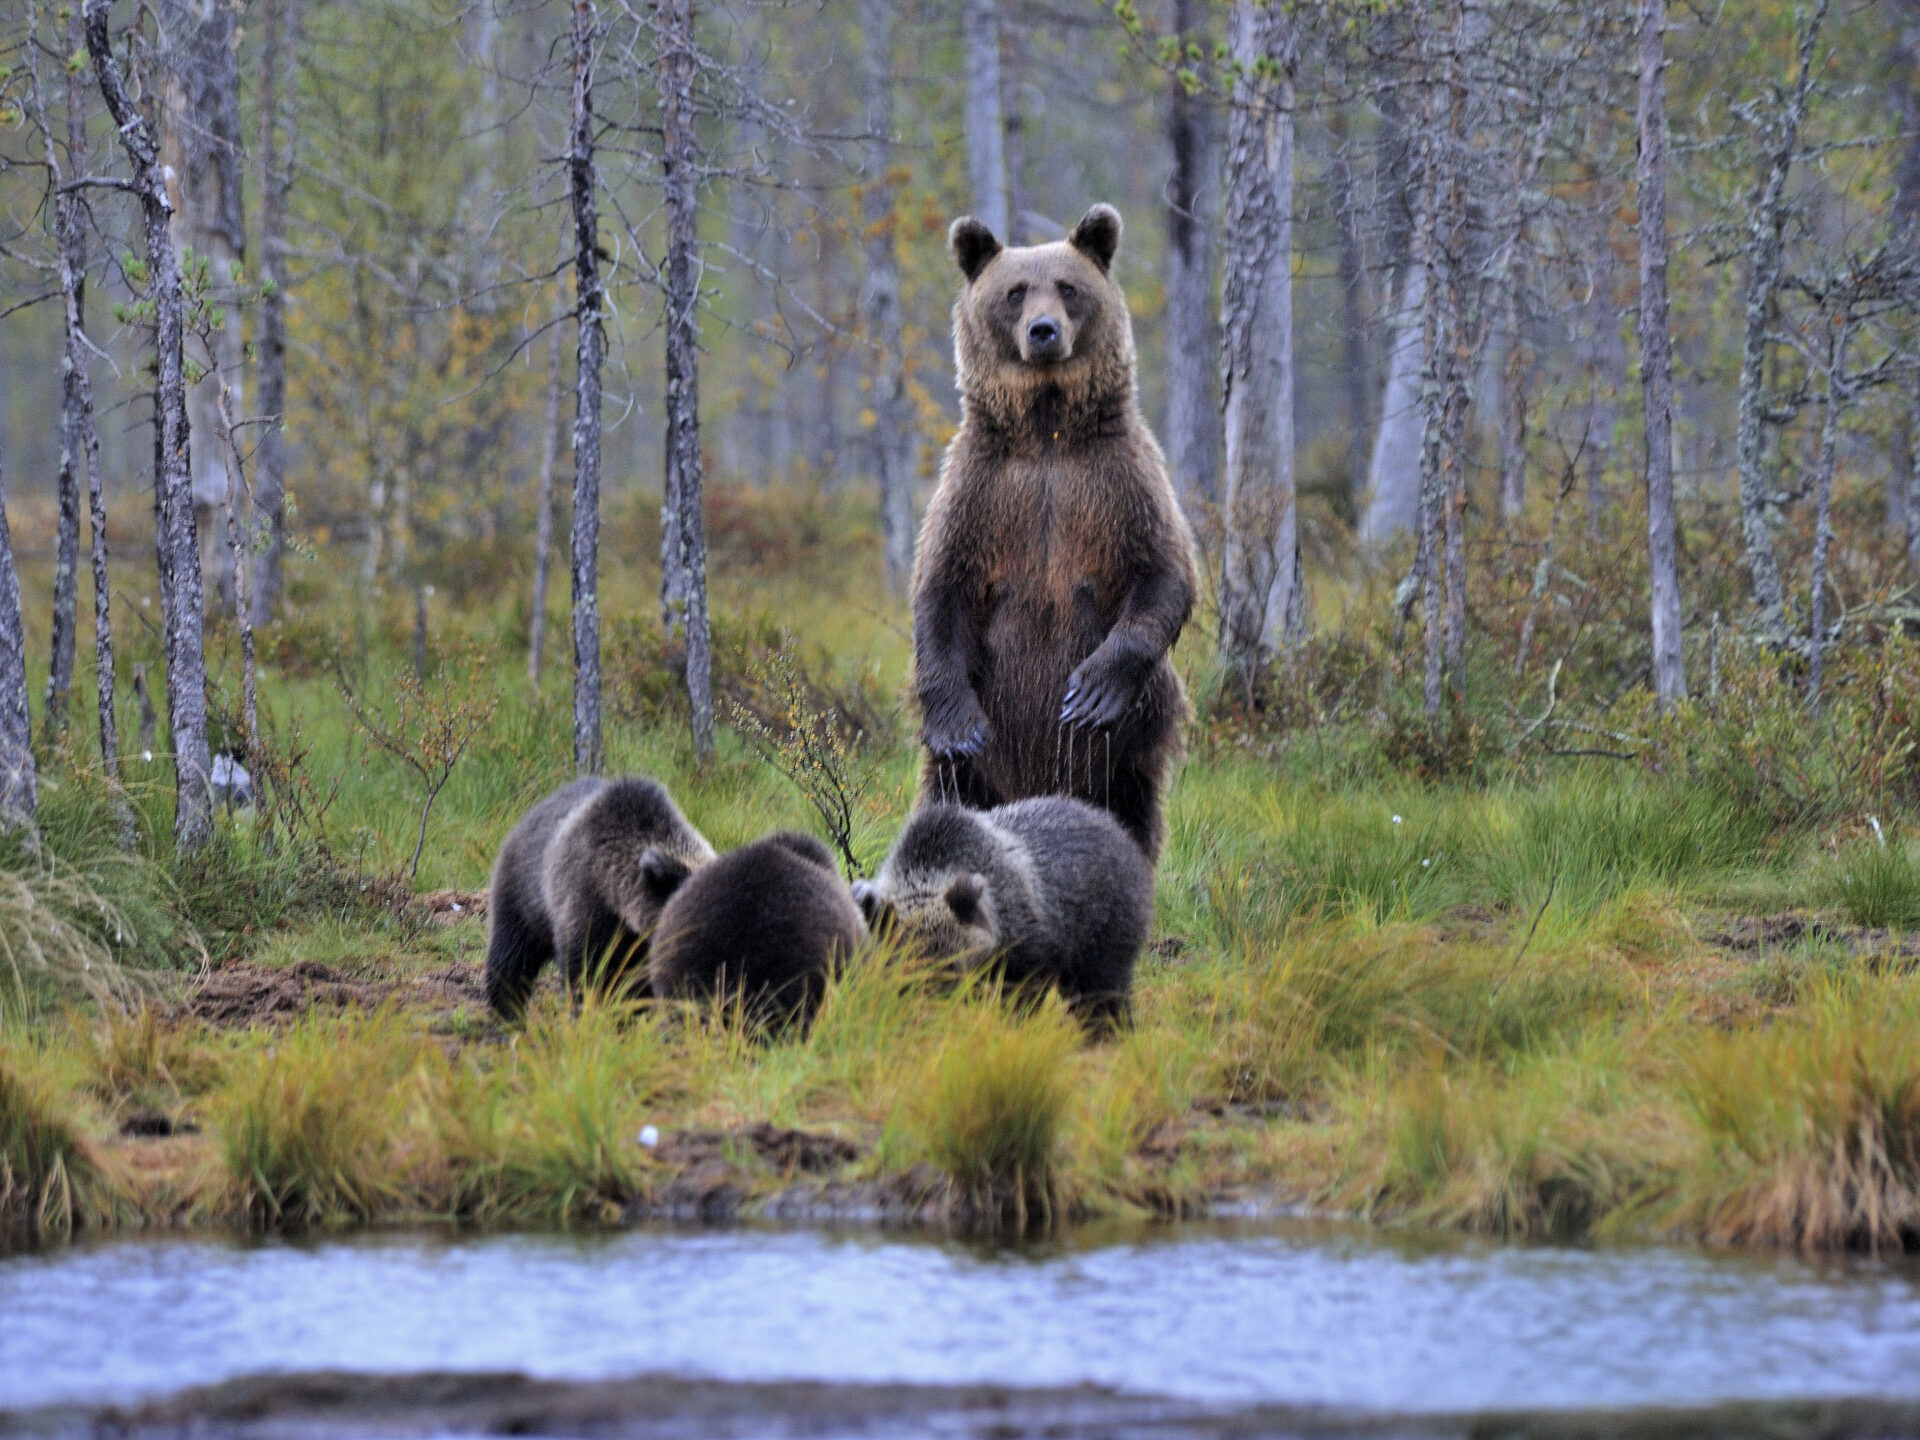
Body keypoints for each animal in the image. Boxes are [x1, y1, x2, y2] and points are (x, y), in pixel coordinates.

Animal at [851, 796, 1153, 1027]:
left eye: (953, 964)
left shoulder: (1026, 939)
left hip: (1104, 922)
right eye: (906, 968)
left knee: (1103, 986)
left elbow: (1024, 990)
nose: (934, 1012)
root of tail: (1118, 829)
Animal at [910, 203, 1198, 863]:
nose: (1043, 331)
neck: (1046, 432)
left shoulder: (1120, 482)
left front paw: (1090, 692)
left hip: (1129, 755)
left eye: (1068, 287)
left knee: (1133, 815)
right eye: (1015, 292)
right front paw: (958, 723)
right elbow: (941, 586)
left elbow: (1164, 571)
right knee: (947, 800)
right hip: (973, 777)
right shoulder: (981, 492)